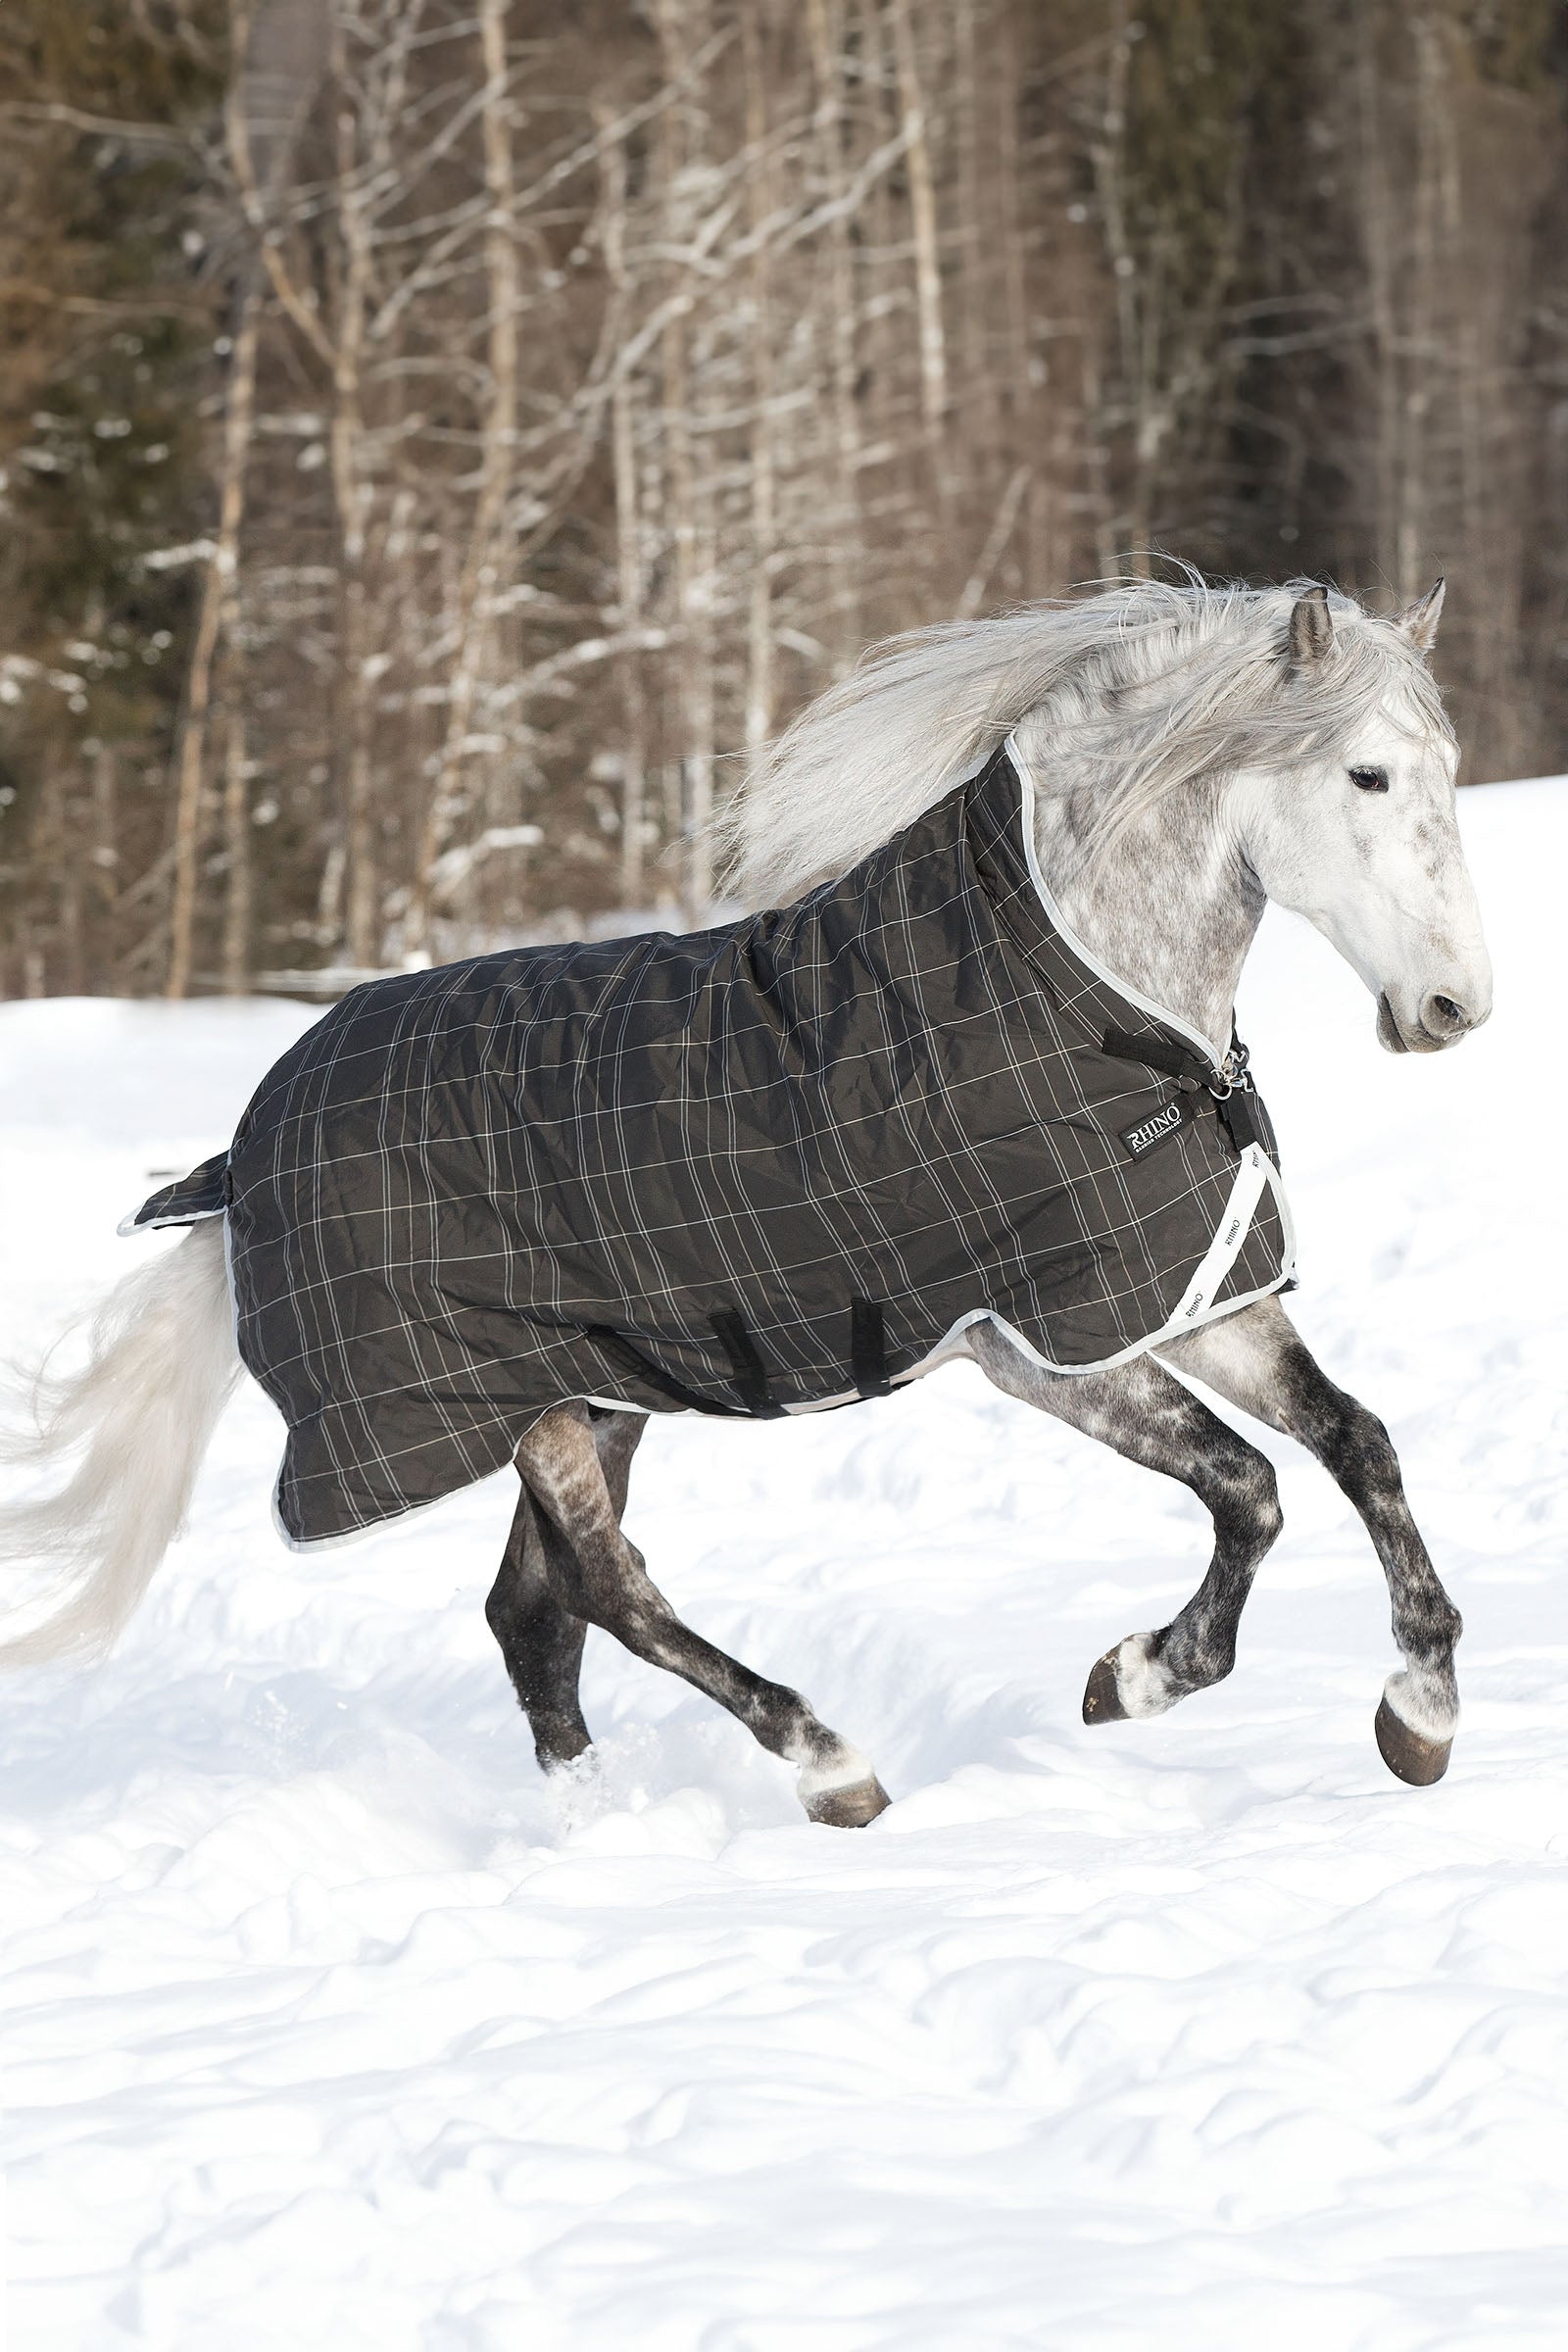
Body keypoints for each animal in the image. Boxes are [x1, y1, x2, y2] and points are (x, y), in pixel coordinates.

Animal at [0, 577, 1491, 1828]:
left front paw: (1419, 1716)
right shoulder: (1033, 1345)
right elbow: (1249, 1486)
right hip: (524, 1408)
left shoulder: (1182, 1293)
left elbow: (1356, 1444)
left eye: (1449, 772)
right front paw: (1136, 1675)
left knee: (533, 1612)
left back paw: (597, 1827)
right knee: (608, 1590)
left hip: (588, 1392)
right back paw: (828, 1765)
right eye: (1365, 774)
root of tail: (246, 1148)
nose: (1453, 1008)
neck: (1087, 999)